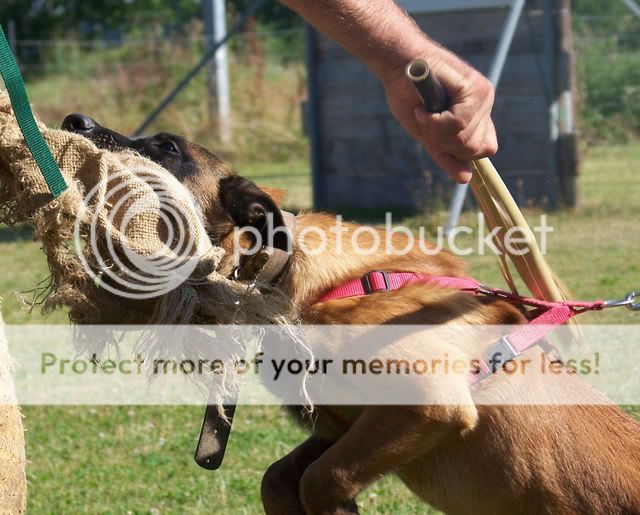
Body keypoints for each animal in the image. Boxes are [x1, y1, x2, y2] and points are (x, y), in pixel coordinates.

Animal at [61, 116, 640, 515]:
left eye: (166, 148)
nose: (73, 122)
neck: (285, 278)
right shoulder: (343, 428)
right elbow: (280, 478)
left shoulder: (426, 403)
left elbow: (320, 479)